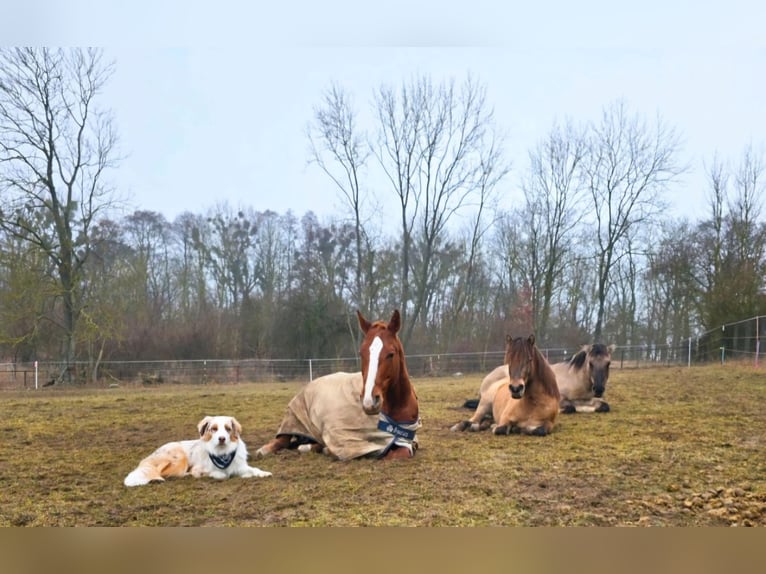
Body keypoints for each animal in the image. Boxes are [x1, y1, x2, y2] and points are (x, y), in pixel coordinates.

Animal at [124, 416, 272, 488]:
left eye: (228, 429)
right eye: (214, 429)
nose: (222, 438)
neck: (222, 453)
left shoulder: (239, 466)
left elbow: (254, 469)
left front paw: (263, 473)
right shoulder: (199, 468)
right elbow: (221, 475)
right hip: (180, 458)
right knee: (164, 473)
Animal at [256, 310, 424, 464]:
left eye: (391, 354)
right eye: (361, 353)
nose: (369, 402)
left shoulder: (406, 443)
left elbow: (400, 453)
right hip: (293, 421)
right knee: (282, 440)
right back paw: (263, 450)